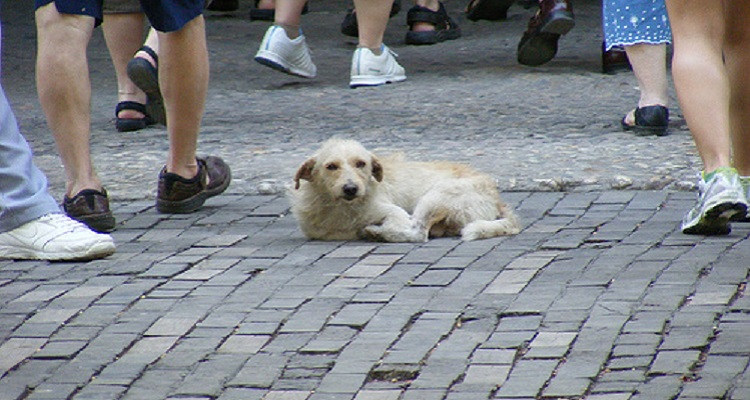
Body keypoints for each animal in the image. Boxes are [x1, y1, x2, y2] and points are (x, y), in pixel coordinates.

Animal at [290, 139, 524, 242]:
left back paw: (377, 233)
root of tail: (497, 198)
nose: (350, 189)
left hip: (434, 198)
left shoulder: (395, 213)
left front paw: (376, 229)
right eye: (331, 166)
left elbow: (400, 224)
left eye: (361, 164)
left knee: (419, 233)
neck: (341, 209)